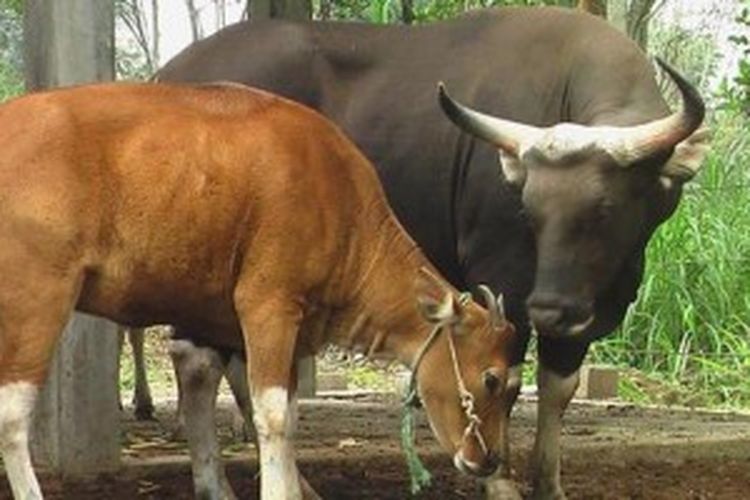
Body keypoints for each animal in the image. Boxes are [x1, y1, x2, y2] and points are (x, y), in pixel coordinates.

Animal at [0, 83, 516, 500]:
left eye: (512, 387)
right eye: (492, 380)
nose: (488, 459)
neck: (342, 206)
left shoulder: (280, 325)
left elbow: (282, 412)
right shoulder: (268, 304)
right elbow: (271, 415)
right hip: (38, 296)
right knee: (12, 417)